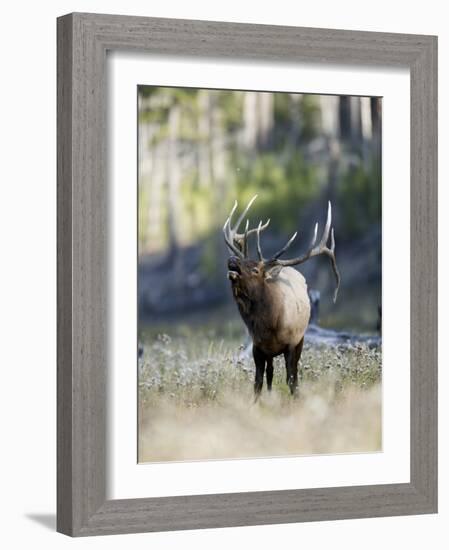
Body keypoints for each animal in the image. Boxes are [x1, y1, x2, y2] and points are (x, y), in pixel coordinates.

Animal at [224, 196, 340, 398]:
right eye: (243, 261)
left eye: (255, 269)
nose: (233, 260)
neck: (270, 325)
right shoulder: (258, 347)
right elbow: (258, 383)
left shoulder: (292, 343)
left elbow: (291, 380)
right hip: (270, 353)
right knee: (270, 373)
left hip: (301, 339)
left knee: (292, 373)